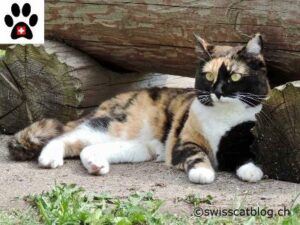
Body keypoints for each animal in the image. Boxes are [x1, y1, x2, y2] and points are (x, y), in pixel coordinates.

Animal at [7, 33, 270, 185]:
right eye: (209, 76)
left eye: (234, 76)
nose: (218, 91)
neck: (223, 117)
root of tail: (111, 101)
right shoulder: (184, 141)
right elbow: (196, 154)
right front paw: (203, 172)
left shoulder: (244, 134)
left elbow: (242, 155)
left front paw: (251, 171)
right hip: (111, 126)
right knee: (63, 137)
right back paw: (49, 159)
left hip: (138, 147)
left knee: (87, 149)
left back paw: (96, 166)